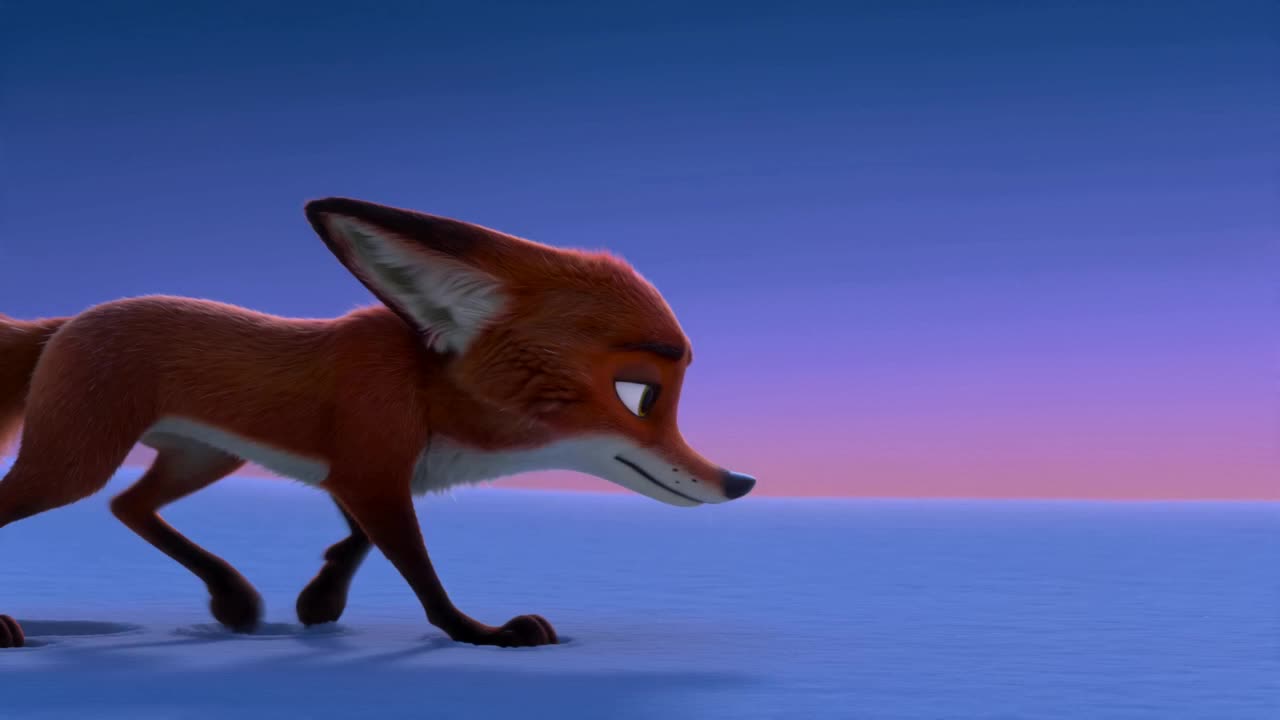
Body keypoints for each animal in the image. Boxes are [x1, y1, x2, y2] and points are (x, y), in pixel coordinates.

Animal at [0, 197, 756, 650]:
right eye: (641, 396)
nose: (740, 483)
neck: (428, 391)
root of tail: (67, 322)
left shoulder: (366, 474)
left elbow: (361, 538)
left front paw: (321, 597)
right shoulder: (371, 467)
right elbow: (421, 573)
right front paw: (481, 633)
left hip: (203, 458)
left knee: (128, 505)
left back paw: (232, 596)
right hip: (74, 462)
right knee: (82, 499)